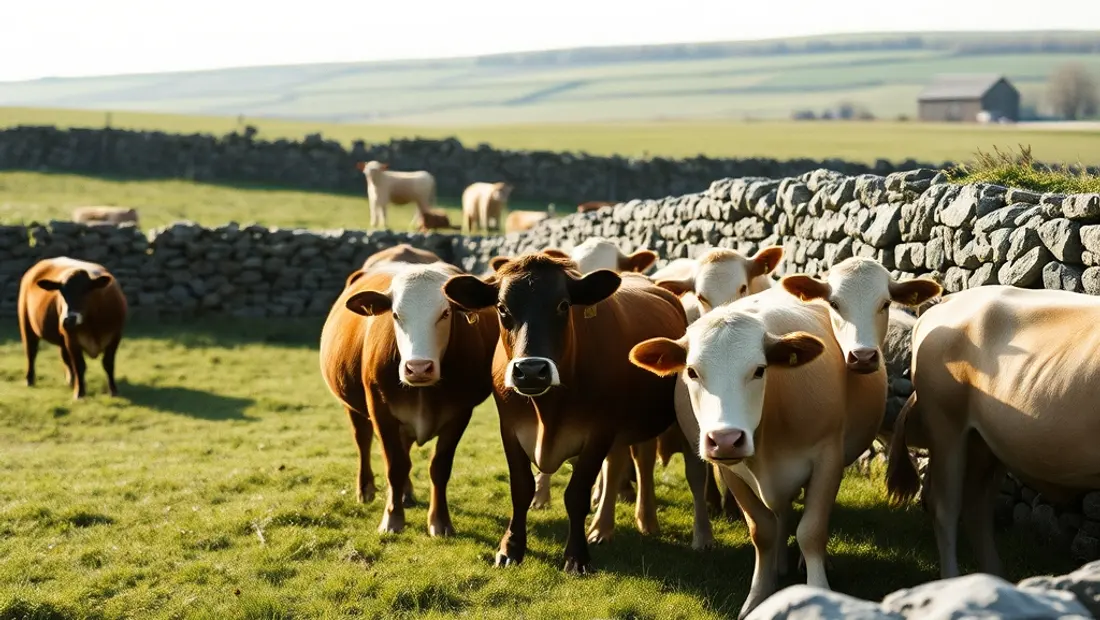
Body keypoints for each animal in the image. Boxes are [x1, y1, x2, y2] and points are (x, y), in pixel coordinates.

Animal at [19, 257, 127, 400]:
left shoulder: (115, 336)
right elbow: (80, 365)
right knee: (31, 352)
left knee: (64, 356)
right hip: (26, 323)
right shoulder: (72, 340)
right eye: (61, 292)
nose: (68, 319)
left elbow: (108, 363)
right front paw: (79, 392)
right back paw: (29, 379)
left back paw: (71, 380)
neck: (92, 323)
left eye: (86, 290)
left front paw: (113, 391)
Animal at [319, 247, 498, 537]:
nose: (418, 367)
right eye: (395, 315)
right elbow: (395, 465)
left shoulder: (460, 413)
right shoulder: (380, 411)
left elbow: (439, 467)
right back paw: (366, 489)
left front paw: (440, 522)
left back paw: (406, 493)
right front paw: (392, 519)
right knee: (363, 441)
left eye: (445, 313)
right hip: (352, 405)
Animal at [442, 252, 687, 573]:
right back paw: (603, 528)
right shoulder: (509, 428)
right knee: (616, 464)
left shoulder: (599, 431)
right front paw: (510, 549)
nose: (531, 370)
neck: (547, 412)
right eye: (502, 308)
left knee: (641, 462)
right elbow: (521, 489)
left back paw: (645, 521)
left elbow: (577, 494)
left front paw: (576, 556)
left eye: (563, 305)